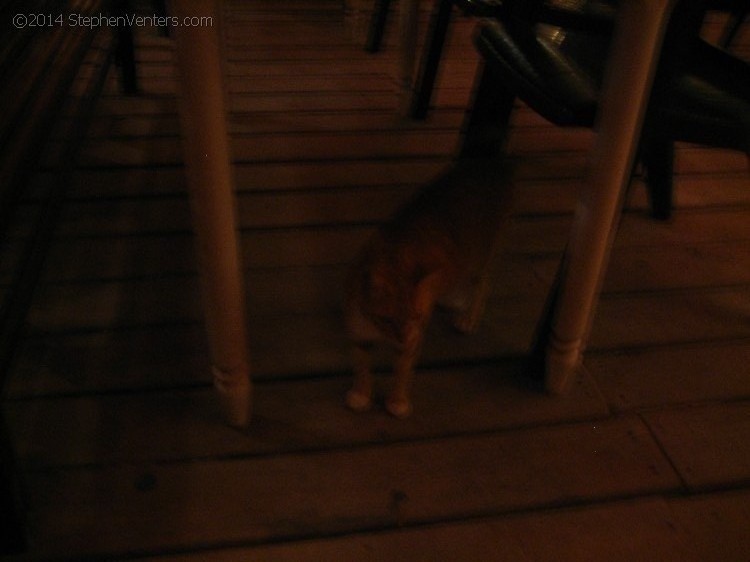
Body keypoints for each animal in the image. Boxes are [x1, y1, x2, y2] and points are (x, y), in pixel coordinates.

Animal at [344, 158, 516, 416]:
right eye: (387, 319)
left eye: (416, 316)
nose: (403, 339)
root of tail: (487, 162)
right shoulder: (359, 330)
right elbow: (362, 366)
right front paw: (361, 394)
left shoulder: (414, 336)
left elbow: (403, 370)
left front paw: (398, 400)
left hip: (480, 258)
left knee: (483, 285)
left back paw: (468, 318)